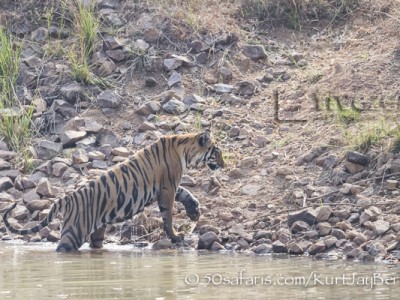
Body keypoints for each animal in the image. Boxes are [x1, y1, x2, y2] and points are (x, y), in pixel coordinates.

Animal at [1, 130, 223, 252]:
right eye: (217, 152)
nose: (224, 163)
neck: (184, 148)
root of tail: (68, 198)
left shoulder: (166, 187)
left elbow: (185, 193)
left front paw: (195, 211)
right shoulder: (167, 187)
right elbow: (168, 217)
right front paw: (176, 237)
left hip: (96, 230)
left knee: (95, 243)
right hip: (74, 232)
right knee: (62, 248)